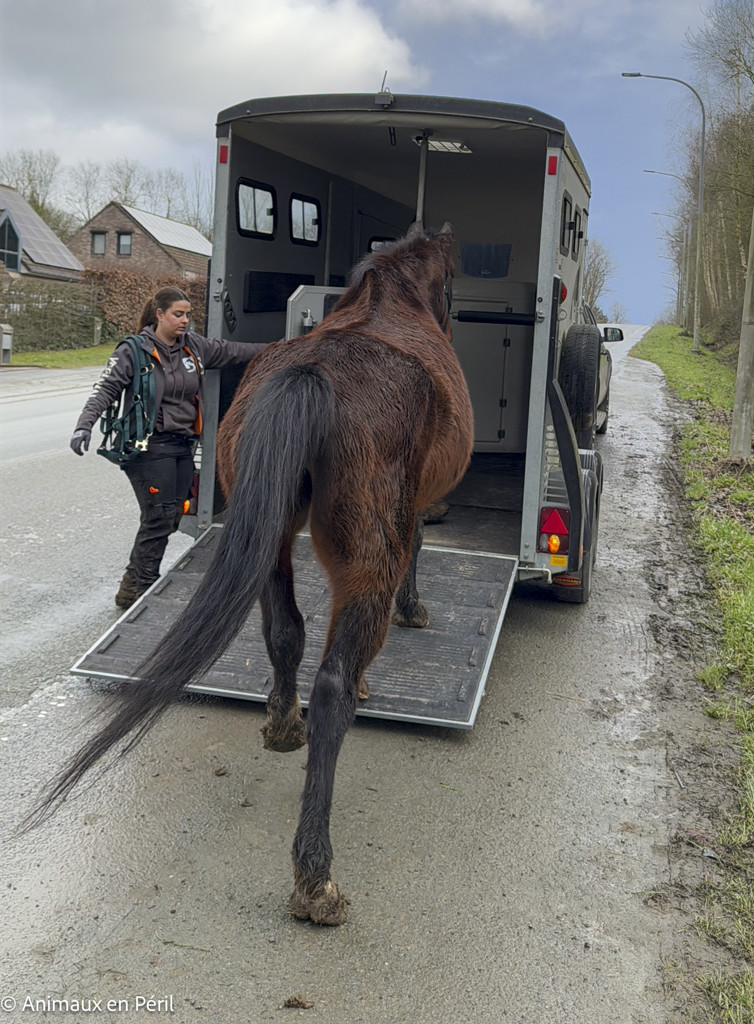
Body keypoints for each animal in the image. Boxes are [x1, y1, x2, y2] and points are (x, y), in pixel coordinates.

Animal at [28, 221, 474, 926]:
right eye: (452, 282)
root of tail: (311, 375)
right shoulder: (416, 512)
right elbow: (418, 552)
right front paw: (412, 612)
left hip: (273, 543)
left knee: (285, 633)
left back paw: (283, 725)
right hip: (358, 556)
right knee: (331, 682)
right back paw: (315, 876)